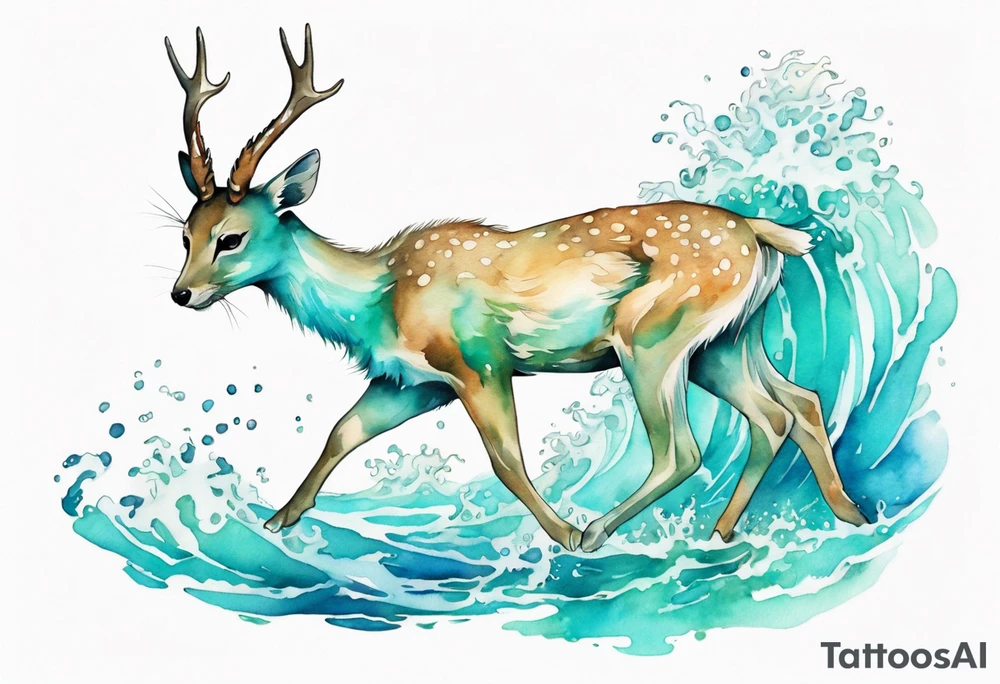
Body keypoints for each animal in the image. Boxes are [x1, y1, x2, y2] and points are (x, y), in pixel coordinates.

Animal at [164, 25, 869, 553]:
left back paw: (598, 531)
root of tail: (761, 232)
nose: (181, 295)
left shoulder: (478, 361)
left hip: (653, 334)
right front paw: (279, 520)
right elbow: (342, 430)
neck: (380, 296)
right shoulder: (410, 382)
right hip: (727, 340)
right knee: (791, 407)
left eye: (233, 238)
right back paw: (820, 521)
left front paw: (560, 533)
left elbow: (505, 461)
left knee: (686, 449)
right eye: (186, 233)